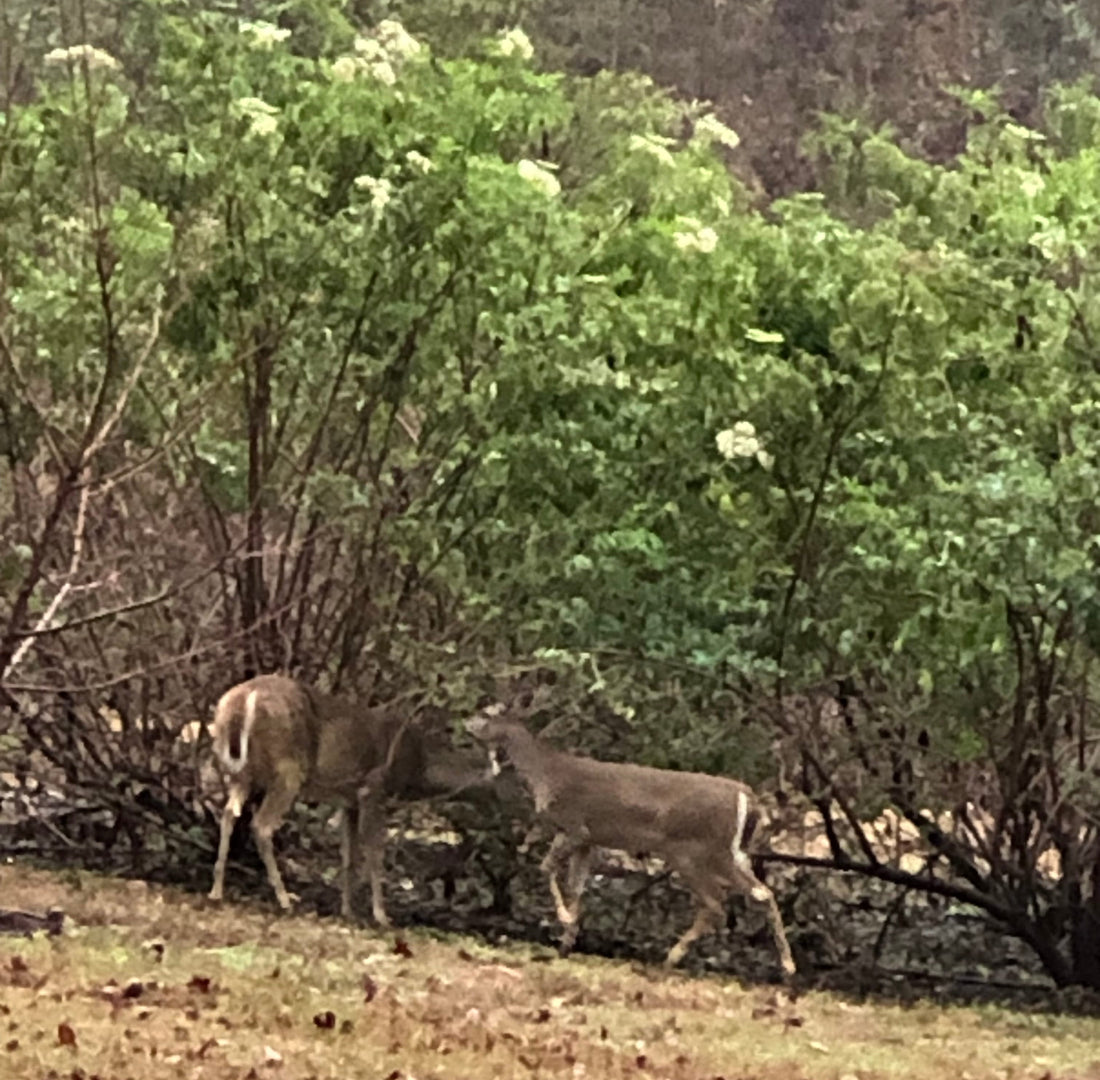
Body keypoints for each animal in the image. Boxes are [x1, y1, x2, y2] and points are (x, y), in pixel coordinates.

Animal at [207, 673, 483, 926]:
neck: (419, 767)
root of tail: (243, 698)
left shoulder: (348, 801)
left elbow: (349, 857)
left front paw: (347, 911)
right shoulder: (373, 788)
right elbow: (374, 851)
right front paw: (381, 916)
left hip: (243, 773)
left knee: (229, 814)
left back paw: (216, 891)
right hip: (288, 769)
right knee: (261, 826)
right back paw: (285, 900)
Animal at [466, 699, 796, 977]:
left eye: (487, 712)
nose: (466, 722)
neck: (547, 774)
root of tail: (748, 797)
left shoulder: (573, 826)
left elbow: (545, 868)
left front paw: (565, 922)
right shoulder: (588, 839)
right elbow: (576, 887)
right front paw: (566, 943)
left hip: (696, 850)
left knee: (719, 902)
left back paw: (671, 958)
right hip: (733, 852)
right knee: (761, 892)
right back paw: (788, 966)